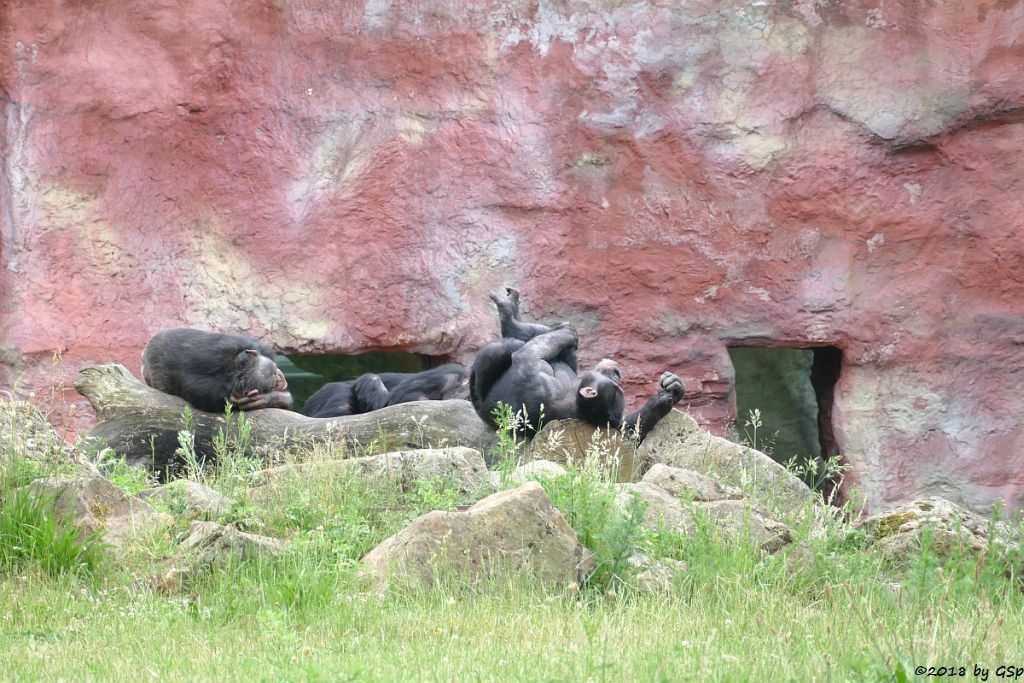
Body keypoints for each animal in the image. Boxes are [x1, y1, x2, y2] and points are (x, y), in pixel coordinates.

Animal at [473, 286, 688, 440]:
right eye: (614, 381)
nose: (617, 374)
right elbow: (625, 430)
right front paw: (669, 392)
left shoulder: (538, 376)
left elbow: (530, 353)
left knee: (504, 348)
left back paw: (510, 319)